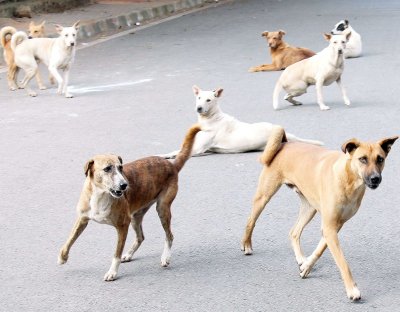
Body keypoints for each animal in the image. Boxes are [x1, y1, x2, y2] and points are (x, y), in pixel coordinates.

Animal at [57, 125, 202, 282]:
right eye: (107, 168)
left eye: (120, 167)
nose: (124, 185)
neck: (101, 194)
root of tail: (171, 165)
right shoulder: (82, 219)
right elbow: (70, 239)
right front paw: (63, 257)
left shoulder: (122, 226)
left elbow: (116, 254)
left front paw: (112, 272)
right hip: (136, 216)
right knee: (141, 237)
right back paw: (129, 254)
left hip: (162, 209)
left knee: (169, 235)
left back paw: (165, 257)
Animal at [159, 85, 322, 158]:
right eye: (199, 98)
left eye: (209, 100)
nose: (199, 108)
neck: (211, 118)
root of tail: (285, 133)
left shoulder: (198, 149)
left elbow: (178, 152)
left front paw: (164, 156)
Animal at [242, 125, 398, 302]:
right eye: (363, 159)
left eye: (380, 159)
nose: (375, 178)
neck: (349, 180)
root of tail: (285, 143)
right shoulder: (329, 227)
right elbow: (343, 262)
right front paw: (352, 289)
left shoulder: (334, 227)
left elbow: (319, 250)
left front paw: (306, 266)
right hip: (264, 196)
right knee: (251, 220)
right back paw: (246, 244)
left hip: (309, 208)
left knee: (294, 232)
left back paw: (300, 258)